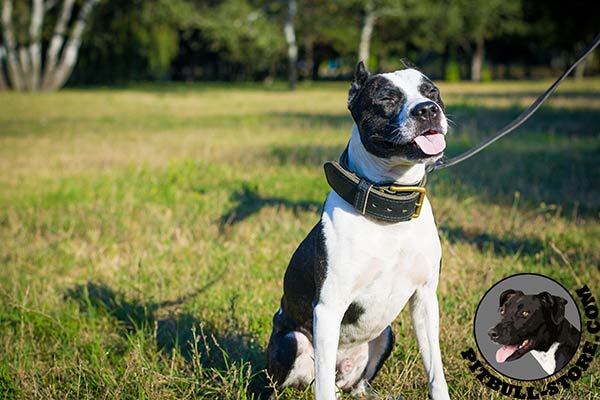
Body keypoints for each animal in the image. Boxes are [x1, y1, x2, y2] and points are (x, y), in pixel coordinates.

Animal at [264, 60, 448, 400]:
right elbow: (322, 386)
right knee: (298, 382)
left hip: (385, 335)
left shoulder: (425, 300)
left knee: (356, 384)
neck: (389, 207)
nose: (428, 110)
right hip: (291, 342)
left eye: (432, 92)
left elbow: (435, 370)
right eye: (387, 98)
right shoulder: (328, 307)